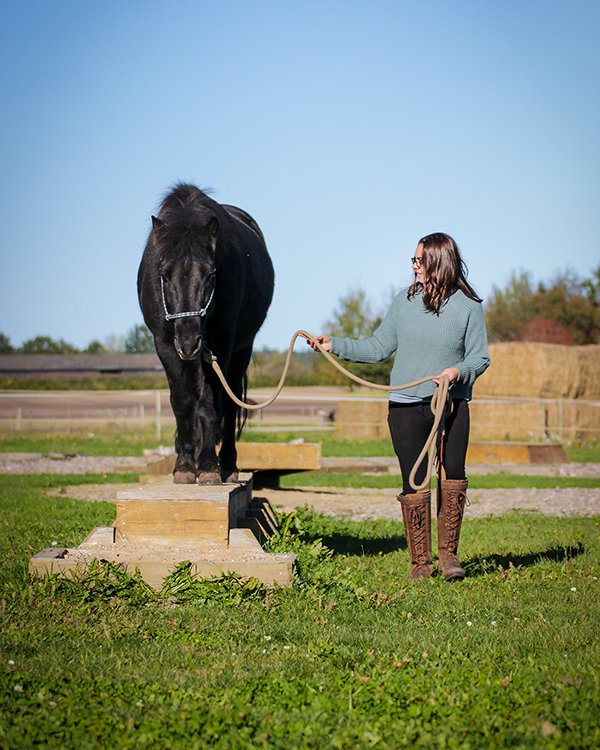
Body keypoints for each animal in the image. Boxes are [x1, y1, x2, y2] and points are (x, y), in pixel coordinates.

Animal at [137, 183, 274, 484]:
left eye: (211, 274)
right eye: (163, 274)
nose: (189, 342)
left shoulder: (222, 345)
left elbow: (211, 404)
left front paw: (210, 467)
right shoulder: (165, 344)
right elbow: (183, 401)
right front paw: (185, 466)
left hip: (239, 351)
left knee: (230, 404)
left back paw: (228, 466)